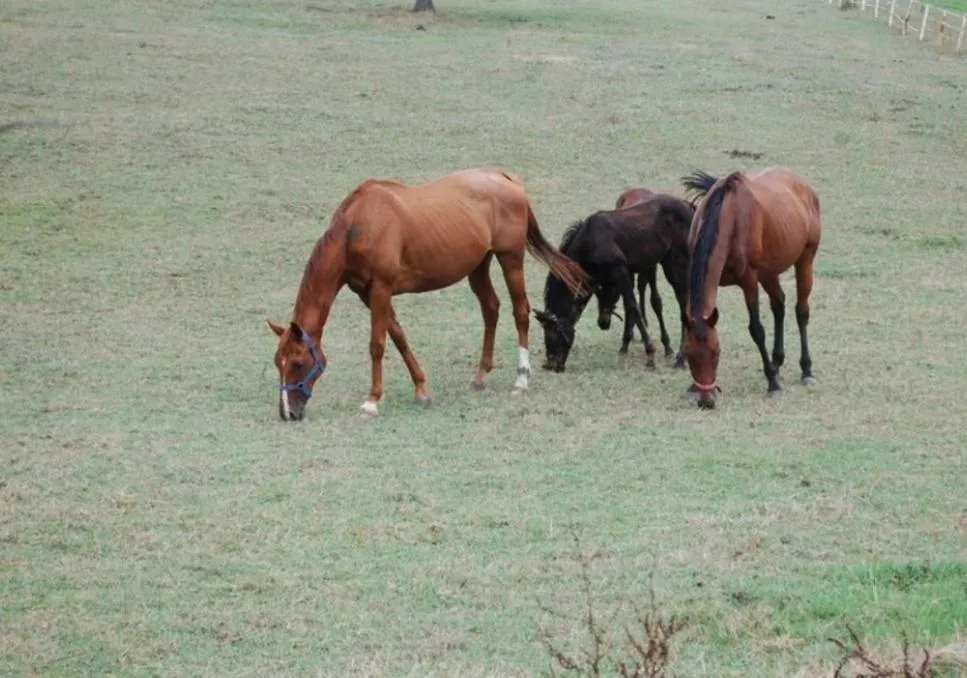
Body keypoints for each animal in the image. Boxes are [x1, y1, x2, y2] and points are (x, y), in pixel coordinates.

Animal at [266, 166, 589, 420]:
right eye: (277, 362)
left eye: (298, 363)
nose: (288, 413)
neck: (357, 227)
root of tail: (503, 176)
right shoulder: (369, 294)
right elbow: (398, 337)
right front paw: (421, 389)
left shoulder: (381, 289)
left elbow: (377, 345)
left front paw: (372, 401)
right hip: (478, 267)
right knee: (490, 309)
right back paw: (480, 375)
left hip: (510, 259)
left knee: (520, 312)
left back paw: (521, 379)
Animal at [534, 193, 694, 372]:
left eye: (551, 334)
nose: (550, 365)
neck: (591, 242)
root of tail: (690, 208)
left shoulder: (620, 272)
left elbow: (633, 308)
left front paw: (650, 356)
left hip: (676, 263)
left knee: (683, 302)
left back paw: (681, 358)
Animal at [680, 167, 821, 409]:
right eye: (689, 354)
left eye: (717, 353)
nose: (707, 401)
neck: (728, 214)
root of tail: (804, 186)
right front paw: (691, 388)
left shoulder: (749, 281)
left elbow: (757, 330)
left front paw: (773, 385)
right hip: (769, 271)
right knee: (779, 305)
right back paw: (776, 362)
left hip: (805, 259)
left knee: (801, 312)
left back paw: (806, 371)